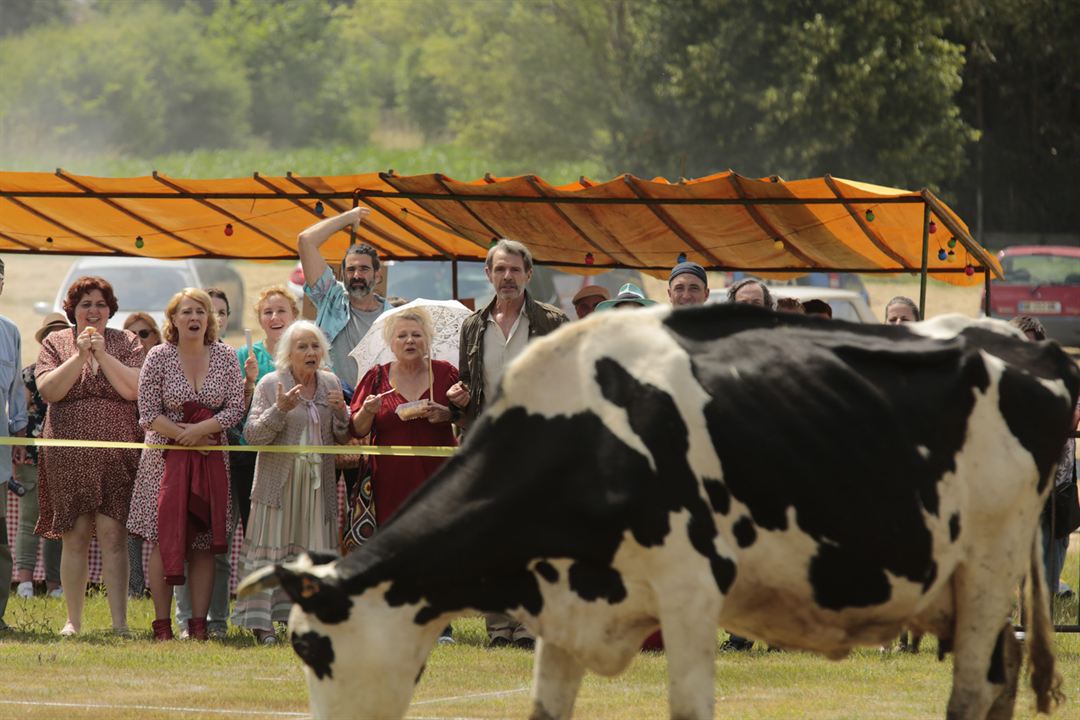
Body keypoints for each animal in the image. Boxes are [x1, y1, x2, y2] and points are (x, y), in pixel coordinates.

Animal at [238, 306, 1080, 720]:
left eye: (311, 647)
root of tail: (1026, 343)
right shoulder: (564, 609)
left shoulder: (689, 593)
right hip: (966, 589)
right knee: (1000, 677)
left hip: (992, 563)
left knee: (971, 693)